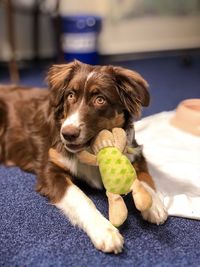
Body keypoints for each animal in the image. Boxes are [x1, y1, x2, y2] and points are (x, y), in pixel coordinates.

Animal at [0, 61, 167, 255]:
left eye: (100, 99)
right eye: (70, 95)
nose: (67, 134)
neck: (90, 150)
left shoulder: (135, 150)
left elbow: (144, 176)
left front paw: (154, 204)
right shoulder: (51, 170)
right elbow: (80, 198)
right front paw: (104, 230)